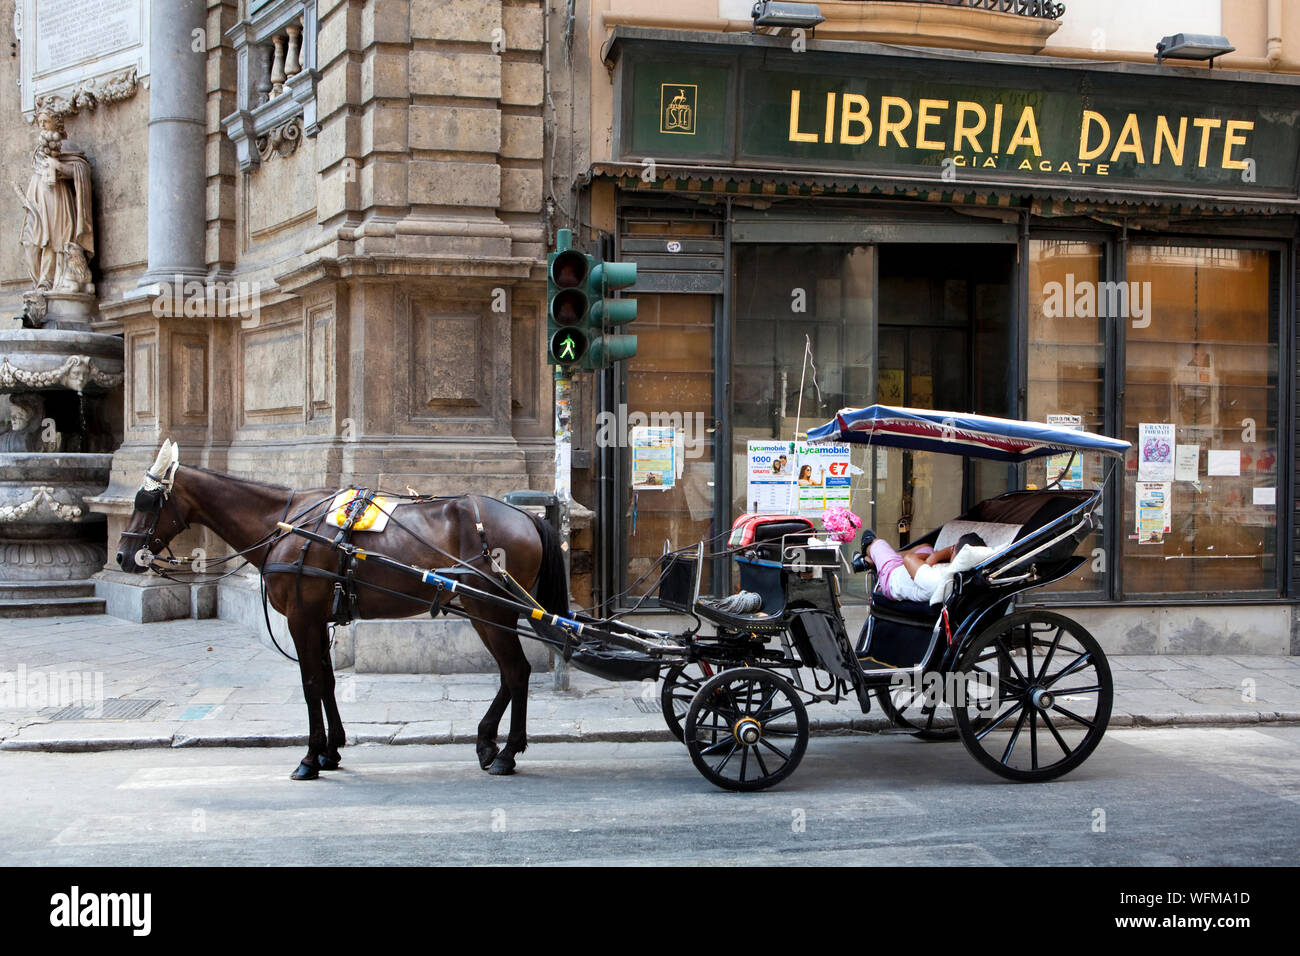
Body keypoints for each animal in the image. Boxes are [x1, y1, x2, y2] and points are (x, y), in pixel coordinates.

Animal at [115, 442, 569, 780]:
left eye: (147, 501)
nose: (121, 555)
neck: (285, 526)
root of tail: (526, 517)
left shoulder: (301, 618)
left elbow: (311, 683)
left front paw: (310, 757)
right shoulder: (317, 619)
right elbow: (328, 682)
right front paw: (331, 750)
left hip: (489, 608)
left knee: (516, 672)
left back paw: (506, 752)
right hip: (488, 611)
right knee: (510, 675)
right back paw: (488, 741)